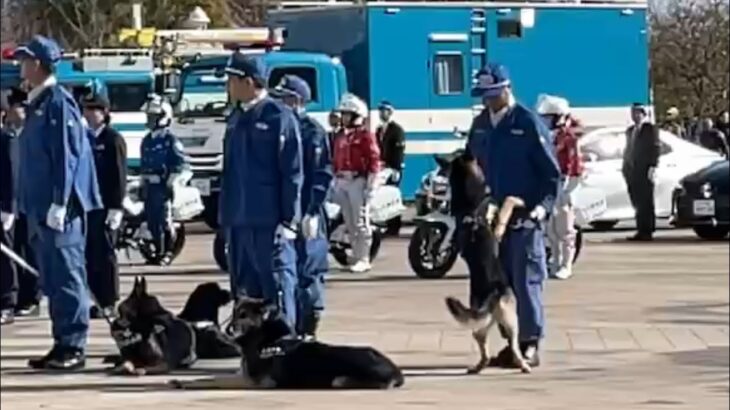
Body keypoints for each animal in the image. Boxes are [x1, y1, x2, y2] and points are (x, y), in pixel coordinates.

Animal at [170, 296, 404, 390]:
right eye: (235, 313)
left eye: (244, 316)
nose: (228, 330)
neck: (265, 339)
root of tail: (397, 372)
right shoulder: (243, 376)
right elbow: (210, 377)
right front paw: (181, 381)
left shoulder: (255, 382)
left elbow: (216, 380)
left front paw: (186, 383)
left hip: (340, 379)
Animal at [438, 151, 528, 374]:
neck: (470, 202)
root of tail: (491, 296)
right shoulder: (498, 226)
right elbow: (507, 203)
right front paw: (518, 200)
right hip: (512, 318)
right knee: (514, 344)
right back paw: (522, 364)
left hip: (484, 323)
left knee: (480, 340)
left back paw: (479, 366)